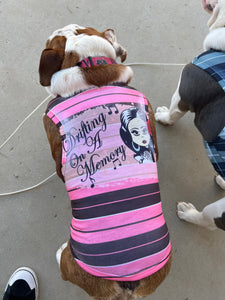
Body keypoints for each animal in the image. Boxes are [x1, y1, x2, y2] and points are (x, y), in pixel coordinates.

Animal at [156, 0, 225, 231]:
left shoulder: (183, 91)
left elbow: (174, 111)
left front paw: (163, 117)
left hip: (219, 210)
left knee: (207, 220)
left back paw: (188, 213)